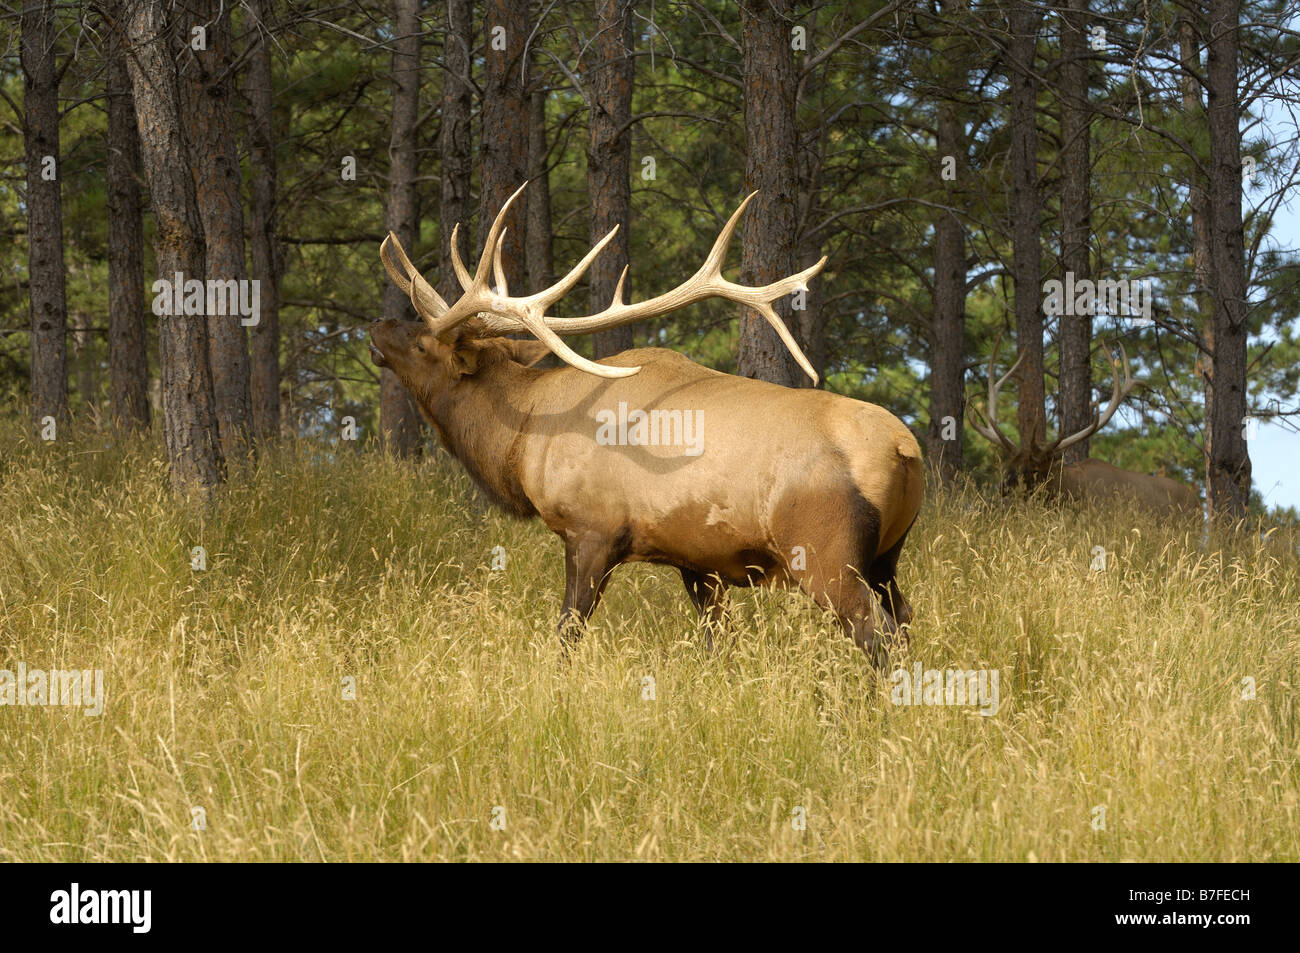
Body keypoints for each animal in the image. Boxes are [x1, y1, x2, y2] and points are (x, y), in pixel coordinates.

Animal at [369, 184, 925, 660]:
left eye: (424, 344)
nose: (376, 324)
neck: (523, 443)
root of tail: (905, 449)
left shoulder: (592, 531)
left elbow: (567, 632)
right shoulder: (699, 561)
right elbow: (715, 644)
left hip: (826, 554)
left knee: (877, 637)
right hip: (886, 558)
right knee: (905, 623)